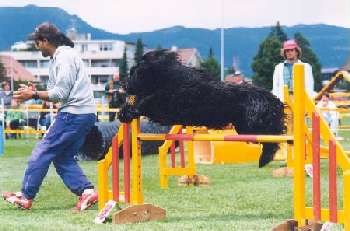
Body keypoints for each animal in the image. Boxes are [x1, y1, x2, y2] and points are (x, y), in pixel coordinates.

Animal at [117, 49, 284, 167]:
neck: (170, 79)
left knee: (273, 137)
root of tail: (272, 98)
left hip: (253, 126)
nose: (123, 85)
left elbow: (146, 103)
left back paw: (265, 158)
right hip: (244, 128)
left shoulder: (167, 106)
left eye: (133, 73)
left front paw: (126, 112)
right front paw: (125, 109)